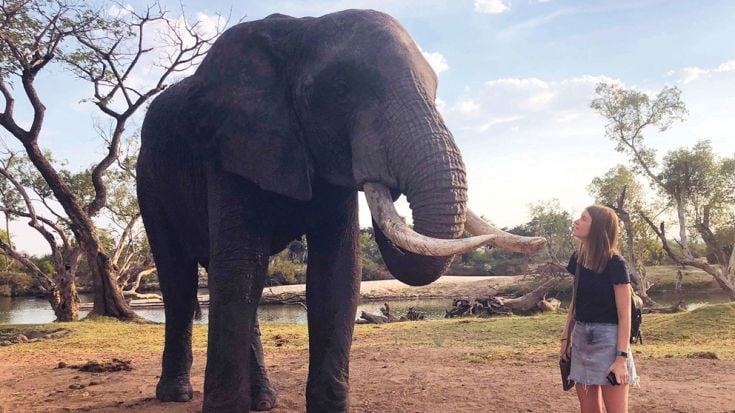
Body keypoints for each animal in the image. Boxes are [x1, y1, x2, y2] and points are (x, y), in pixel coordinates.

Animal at [137, 8, 548, 410]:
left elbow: (336, 274)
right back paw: (175, 394)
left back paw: (265, 400)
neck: (299, 30)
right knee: (180, 281)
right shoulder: (232, 146)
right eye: (340, 92)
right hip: (150, 182)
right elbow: (240, 270)